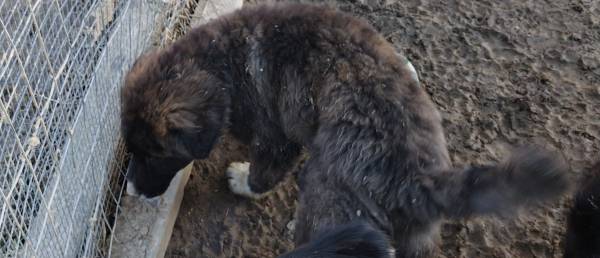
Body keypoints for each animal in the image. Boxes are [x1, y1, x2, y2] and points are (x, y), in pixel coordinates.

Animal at [119, 3, 568, 256]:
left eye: (155, 154)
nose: (133, 190)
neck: (219, 62)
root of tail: (419, 183)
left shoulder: (275, 135)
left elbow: (266, 171)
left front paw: (244, 179)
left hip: (327, 200)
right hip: (417, 240)